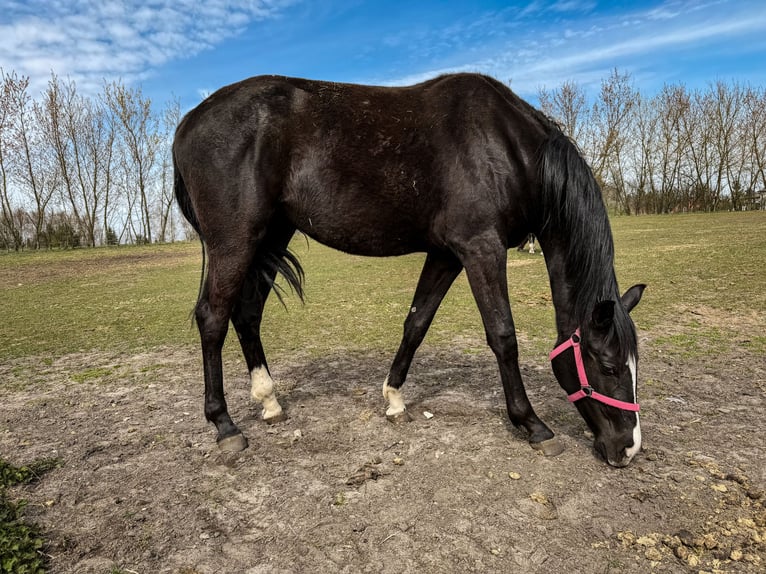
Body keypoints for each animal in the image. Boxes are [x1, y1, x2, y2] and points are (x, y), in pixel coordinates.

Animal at [173, 73, 646, 467]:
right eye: (608, 366)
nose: (628, 447)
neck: (508, 148)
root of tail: (189, 122)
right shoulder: (481, 249)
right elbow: (503, 336)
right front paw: (532, 424)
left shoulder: (446, 255)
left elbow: (416, 323)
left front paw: (394, 398)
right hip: (235, 241)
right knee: (212, 318)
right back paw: (225, 426)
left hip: (271, 236)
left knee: (247, 314)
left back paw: (269, 402)